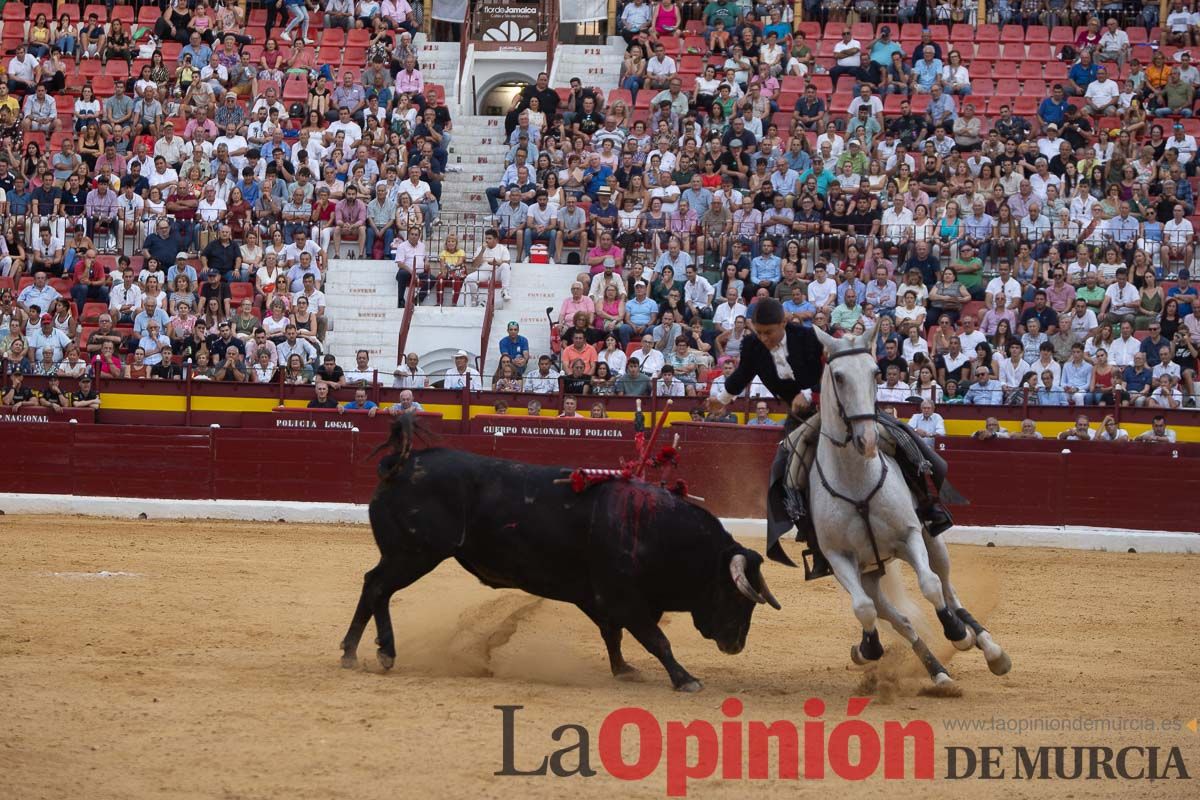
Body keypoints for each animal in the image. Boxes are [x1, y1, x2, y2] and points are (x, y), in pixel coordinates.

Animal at [343, 417, 782, 690]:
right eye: (736, 598)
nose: (736, 644)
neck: (658, 531)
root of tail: (401, 463)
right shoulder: (623, 598)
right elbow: (656, 640)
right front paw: (685, 679)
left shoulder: (600, 599)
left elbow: (614, 635)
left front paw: (624, 670)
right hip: (414, 553)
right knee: (377, 586)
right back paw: (372, 651)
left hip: (406, 554)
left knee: (374, 587)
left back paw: (365, 652)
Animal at [806, 326, 1012, 690]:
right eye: (839, 376)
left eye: (875, 372)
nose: (868, 440)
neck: (857, 481)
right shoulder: (838, 557)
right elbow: (863, 609)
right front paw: (868, 648)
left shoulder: (910, 535)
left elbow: (930, 585)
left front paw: (958, 633)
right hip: (870, 573)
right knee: (897, 618)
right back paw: (935, 671)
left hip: (933, 541)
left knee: (947, 588)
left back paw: (988, 648)